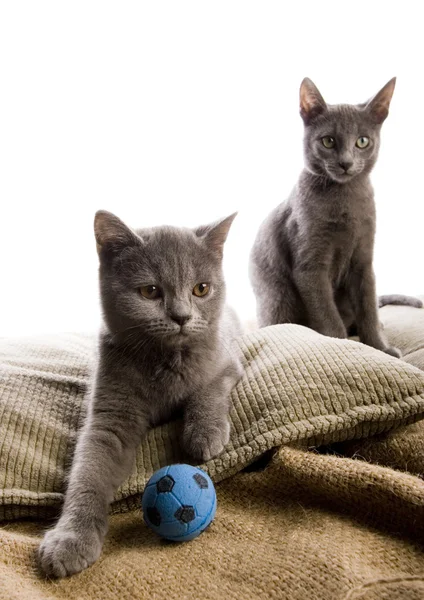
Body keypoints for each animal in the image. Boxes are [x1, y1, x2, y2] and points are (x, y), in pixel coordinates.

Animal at [38, 210, 243, 576]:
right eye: (150, 291)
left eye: (201, 289)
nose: (181, 316)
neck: (165, 362)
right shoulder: (109, 416)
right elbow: (87, 473)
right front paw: (69, 540)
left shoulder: (227, 362)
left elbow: (206, 391)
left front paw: (204, 435)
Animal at [250, 76, 422, 356]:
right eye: (328, 141)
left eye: (362, 141)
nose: (346, 163)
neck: (346, 202)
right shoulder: (310, 267)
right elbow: (328, 316)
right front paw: (346, 346)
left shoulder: (364, 261)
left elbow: (368, 309)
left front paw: (380, 347)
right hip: (277, 300)